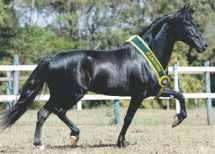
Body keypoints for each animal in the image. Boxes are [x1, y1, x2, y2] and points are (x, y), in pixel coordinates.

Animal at [0, 4, 207, 148]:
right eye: (188, 24)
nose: (203, 45)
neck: (145, 57)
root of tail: (51, 59)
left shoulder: (154, 91)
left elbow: (180, 95)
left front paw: (177, 120)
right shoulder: (139, 94)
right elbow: (128, 118)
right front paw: (121, 142)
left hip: (61, 93)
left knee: (44, 112)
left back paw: (41, 143)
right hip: (72, 93)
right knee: (56, 111)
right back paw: (72, 136)